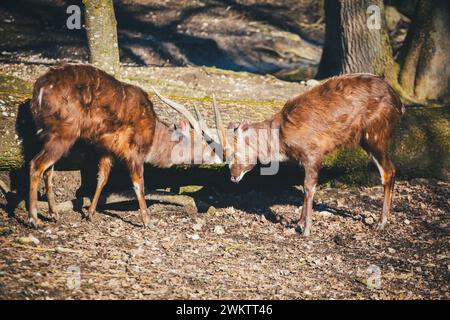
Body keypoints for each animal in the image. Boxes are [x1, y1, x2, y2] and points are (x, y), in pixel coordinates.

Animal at [28, 63, 221, 228]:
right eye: (202, 142)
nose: (219, 156)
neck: (153, 133)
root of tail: (38, 90)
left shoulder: (107, 149)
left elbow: (102, 178)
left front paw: (90, 214)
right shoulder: (135, 153)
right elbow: (138, 184)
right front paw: (148, 222)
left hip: (49, 135)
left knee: (48, 171)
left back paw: (54, 214)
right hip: (63, 134)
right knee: (36, 165)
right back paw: (34, 220)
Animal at [214, 74, 404, 236]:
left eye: (236, 153)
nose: (233, 177)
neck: (281, 134)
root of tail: (398, 102)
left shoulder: (313, 155)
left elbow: (308, 187)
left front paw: (306, 230)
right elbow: (304, 187)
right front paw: (298, 222)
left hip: (375, 136)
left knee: (388, 171)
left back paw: (381, 223)